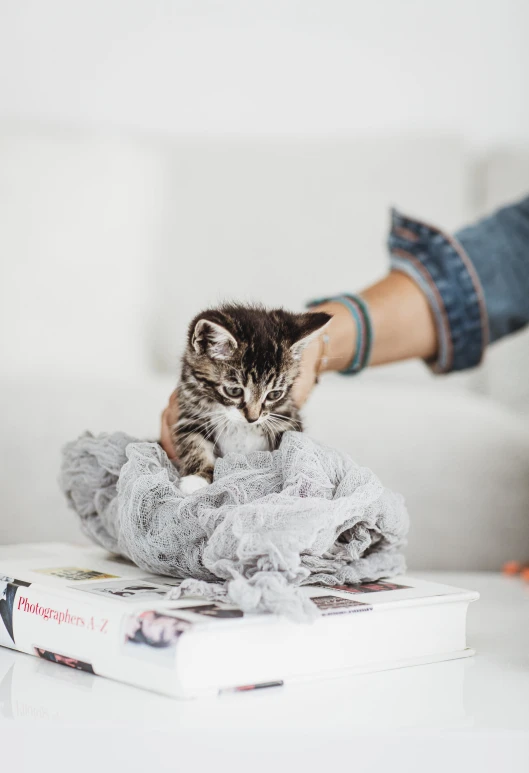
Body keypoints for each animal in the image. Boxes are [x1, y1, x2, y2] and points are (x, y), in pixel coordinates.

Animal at [172, 304, 330, 494]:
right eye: (234, 391)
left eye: (274, 394)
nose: (252, 418)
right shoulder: (191, 410)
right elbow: (194, 441)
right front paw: (196, 480)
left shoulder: (284, 415)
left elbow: (294, 447)